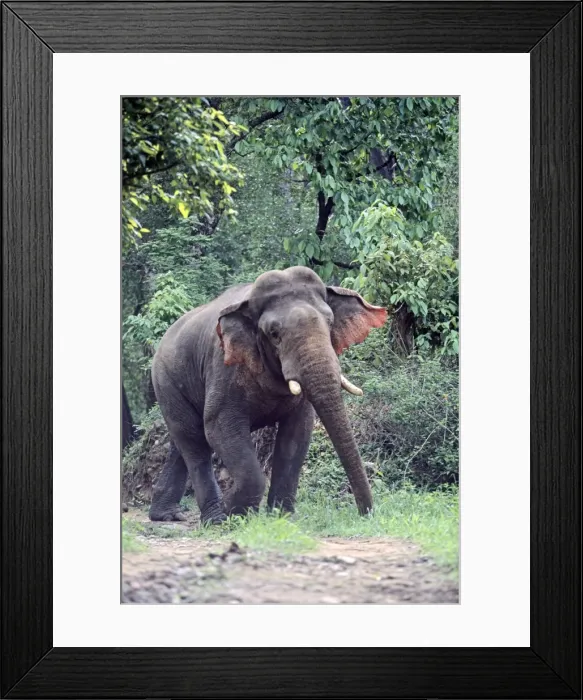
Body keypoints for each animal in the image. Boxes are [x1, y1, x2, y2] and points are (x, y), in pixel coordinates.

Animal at [149, 265, 387, 525]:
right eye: (274, 334)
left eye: (330, 322)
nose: (366, 514)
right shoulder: (224, 367)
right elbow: (217, 427)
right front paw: (237, 515)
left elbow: (297, 432)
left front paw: (282, 518)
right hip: (165, 381)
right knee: (194, 442)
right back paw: (215, 519)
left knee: (183, 441)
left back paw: (168, 515)